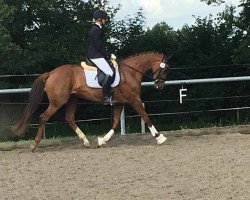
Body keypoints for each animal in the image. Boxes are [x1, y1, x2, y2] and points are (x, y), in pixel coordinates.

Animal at [13, 51, 170, 152]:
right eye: (164, 70)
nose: (160, 86)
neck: (130, 72)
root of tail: (51, 73)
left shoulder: (119, 103)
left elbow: (115, 123)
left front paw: (102, 141)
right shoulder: (134, 99)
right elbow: (145, 116)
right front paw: (159, 137)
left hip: (72, 99)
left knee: (69, 118)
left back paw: (86, 141)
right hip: (58, 102)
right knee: (43, 117)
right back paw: (34, 145)